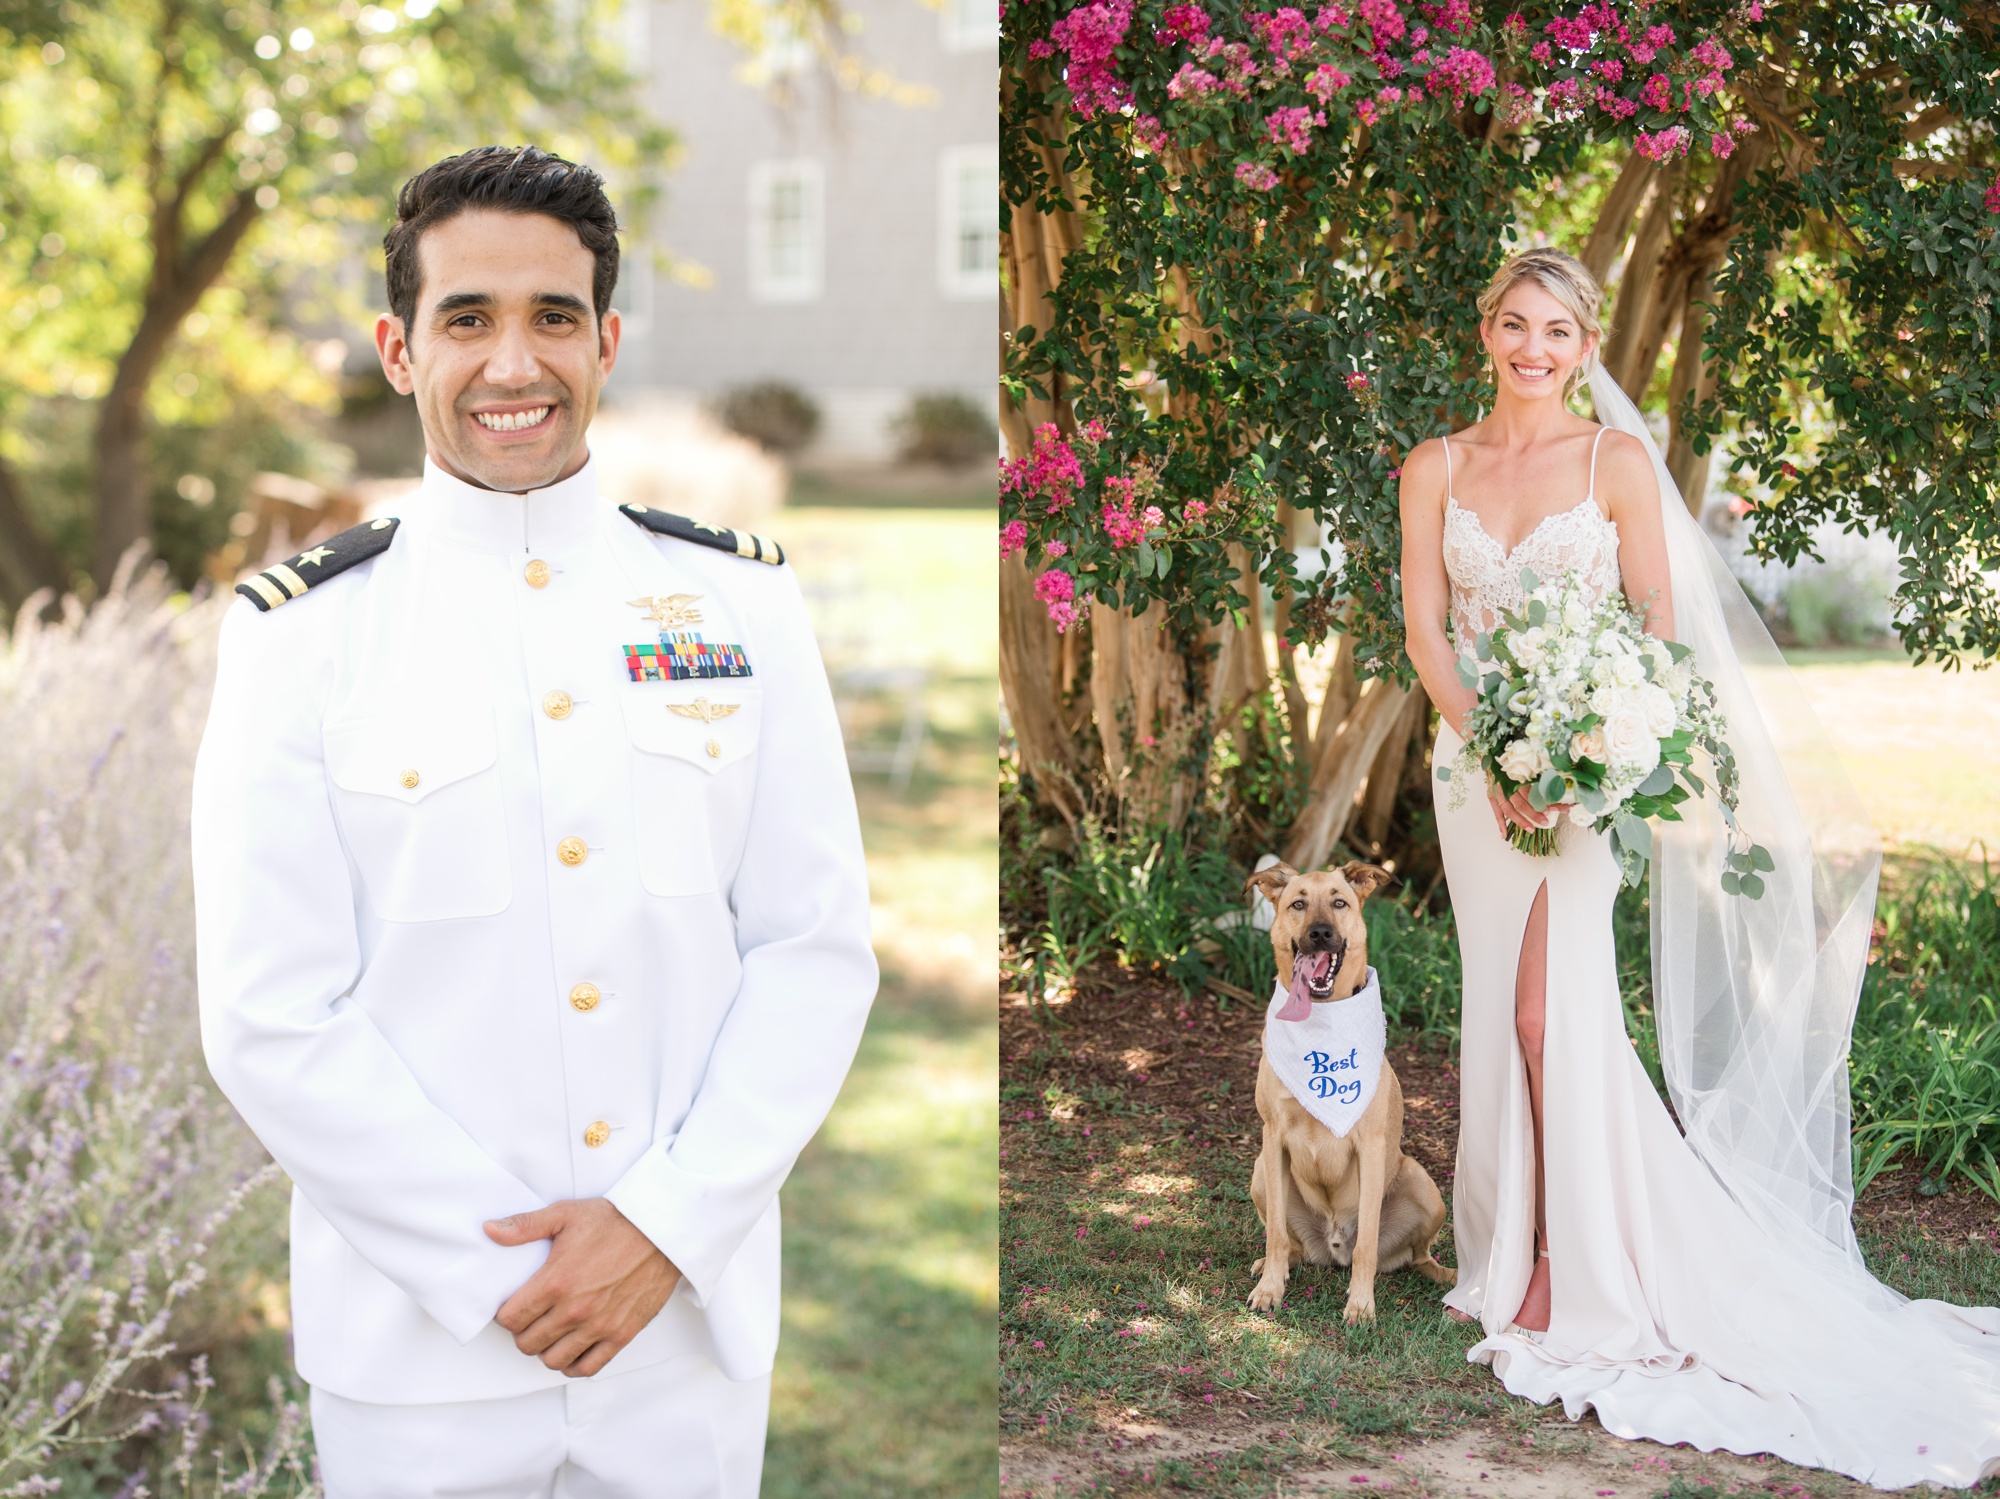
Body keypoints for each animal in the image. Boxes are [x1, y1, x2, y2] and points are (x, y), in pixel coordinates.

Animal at [1232, 863, 1456, 1319]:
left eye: (1339, 902)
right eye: (1298, 903)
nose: (1320, 933)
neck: (1322, 1017)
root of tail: (1332, 1245)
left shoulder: (1369, 1145)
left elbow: (1367, 1242)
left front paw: (1361, 1305)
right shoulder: (1273, 1137)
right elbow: (1276, 1232)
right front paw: (1269, 1289)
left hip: (1423, 1184)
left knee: (1415, 1254)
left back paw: (1443, 1275)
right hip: (1261, 1171)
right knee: (1290, 1243)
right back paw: (1276, 1264)